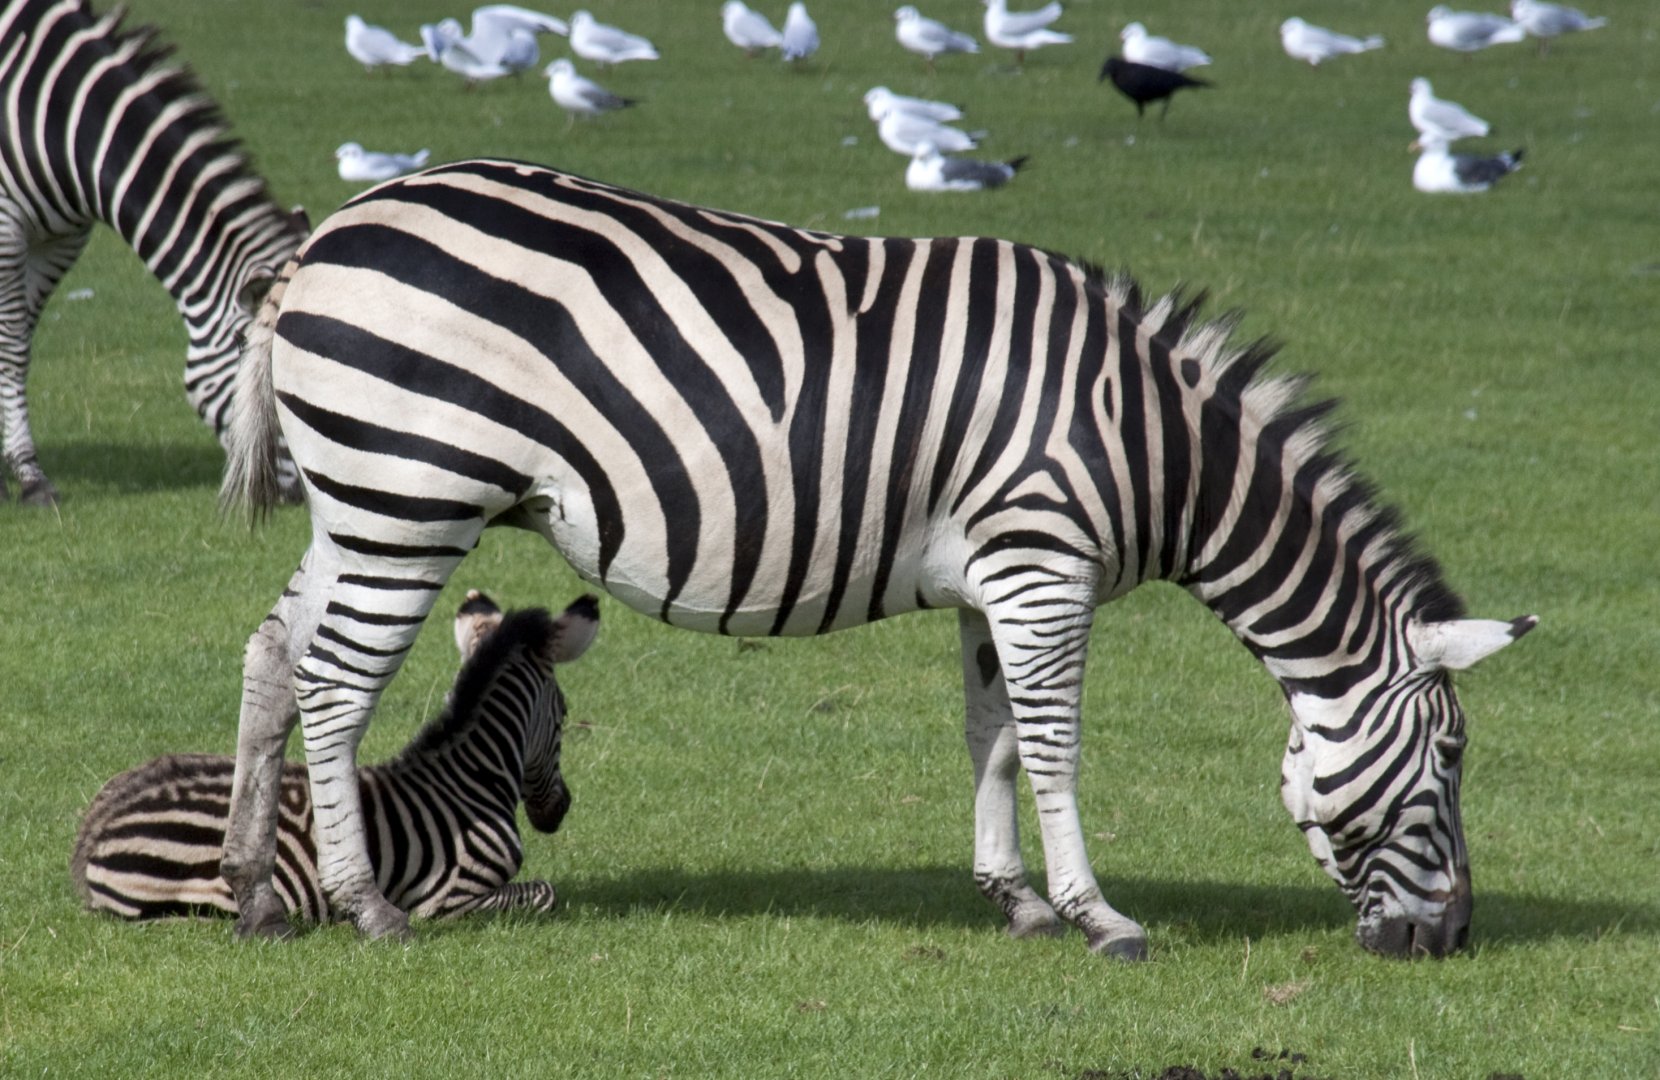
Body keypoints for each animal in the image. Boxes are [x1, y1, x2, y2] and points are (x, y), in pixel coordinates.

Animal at [0, 0, 308, 505]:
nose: (298, 494)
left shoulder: (61, 240)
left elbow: (20, 338)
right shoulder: (7, 224)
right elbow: (12, 348)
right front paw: (29, 475)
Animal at [71, 590, 597, 926]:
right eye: (565, 715)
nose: (563, 808)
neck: (472, 779)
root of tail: (90, 835)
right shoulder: (448, 896)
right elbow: (545, 893)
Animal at [218, 158, 1535, 958]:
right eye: (1452, 758)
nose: (1453, 940)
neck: (1152, 442)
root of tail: (330, 235)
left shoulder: (994, 583)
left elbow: (992, 737)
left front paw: (1014, 899)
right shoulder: (1042, 563)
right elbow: (1053, 743)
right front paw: (1097, 914)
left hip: (360, 501)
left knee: (275, 650)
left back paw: (249, 891)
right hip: (411, 495)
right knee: (336, 685)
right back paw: (367, 905)